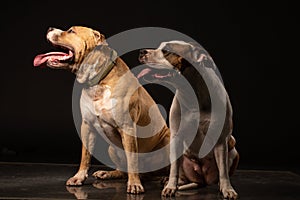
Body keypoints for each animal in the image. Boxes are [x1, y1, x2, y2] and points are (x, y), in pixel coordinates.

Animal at [33, 26, 170, 194]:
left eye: (71, 31)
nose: (50, 28)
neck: (99, 81)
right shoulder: (87, 126)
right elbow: (85, 156)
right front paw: (79, 177)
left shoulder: (127, 128)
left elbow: (132, 160)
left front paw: (134, 184)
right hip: (112, 148)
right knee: (123, 170)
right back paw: (108, 173)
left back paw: (166, 180)